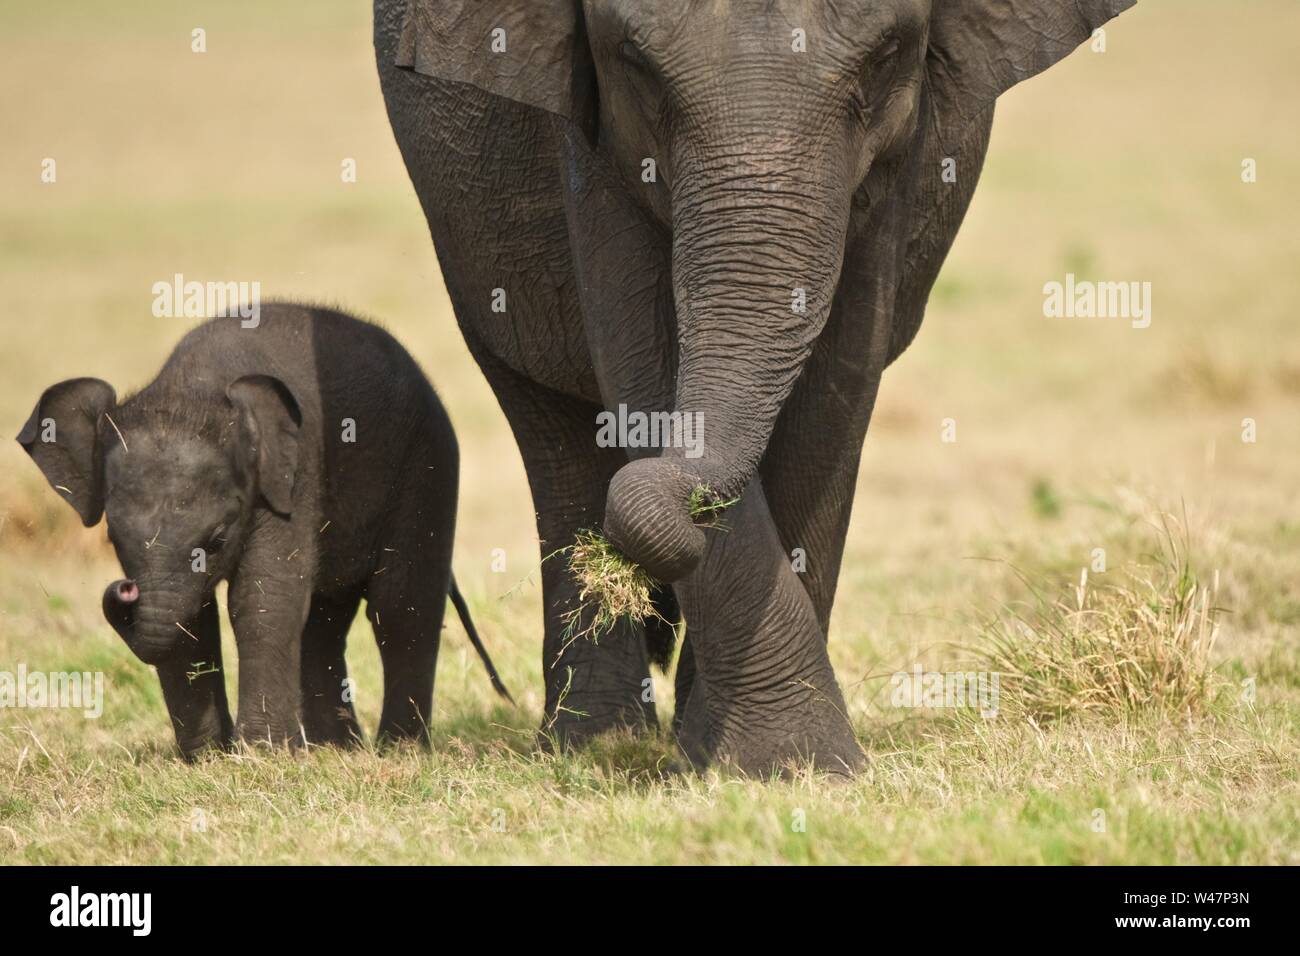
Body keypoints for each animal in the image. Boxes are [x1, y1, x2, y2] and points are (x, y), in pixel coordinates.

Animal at [21, 303, 506, 759]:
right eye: (113, 541)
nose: (124, 590)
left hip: (428, 462)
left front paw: (261, 754)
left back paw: (399, 749)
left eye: (217, 540)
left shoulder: (292, 477)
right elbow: (196, 615)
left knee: (401, 606)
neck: (191, 386)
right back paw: (335, 749)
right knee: (324, 621)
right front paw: (210, 758)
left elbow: (264, 596)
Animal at [374, 0, 1128, 780]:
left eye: (887, 56)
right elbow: (644, 356)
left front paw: (785, 765)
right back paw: (594, 743)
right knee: (553, 430)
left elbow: (837, 377)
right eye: (634, 63)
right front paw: (783, 760)